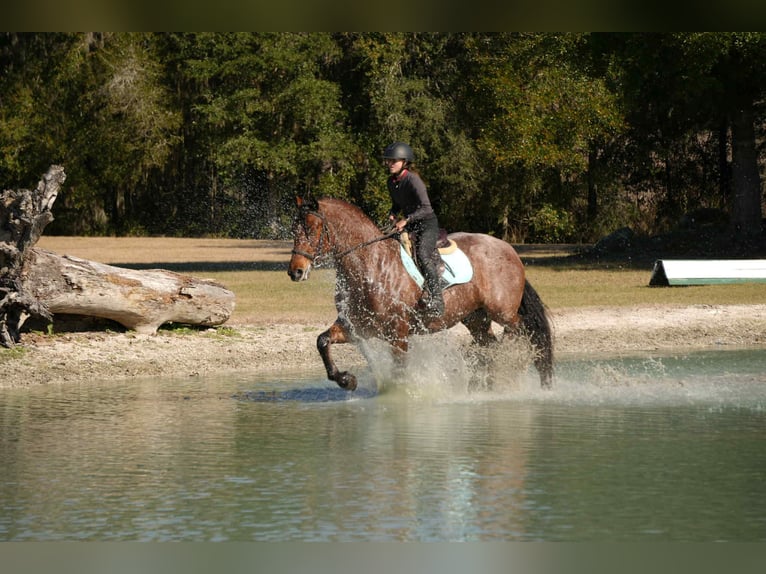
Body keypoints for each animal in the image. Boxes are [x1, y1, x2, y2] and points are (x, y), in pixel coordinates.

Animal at [287, 196, 553, 391]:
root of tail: (509, 249)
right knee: (492, 343)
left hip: (502, 311)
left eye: (311, 228)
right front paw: (346, 380)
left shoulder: (398, 334)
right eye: (293, 229)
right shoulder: (356, 326)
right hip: (475, 318)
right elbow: (322, 341)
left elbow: (400, 370)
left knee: (520, 330)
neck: (370, 265)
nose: (295, 271)